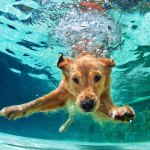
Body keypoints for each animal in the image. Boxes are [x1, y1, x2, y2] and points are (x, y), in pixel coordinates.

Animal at [0, 51, 135, 132]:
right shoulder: (61, 94)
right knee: (71, 115)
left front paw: (120, 112)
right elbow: (37, 102)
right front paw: (16, 109)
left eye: (97, 77)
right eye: (75, 79)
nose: (87, 105)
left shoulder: (101, 98)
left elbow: (109, 107)